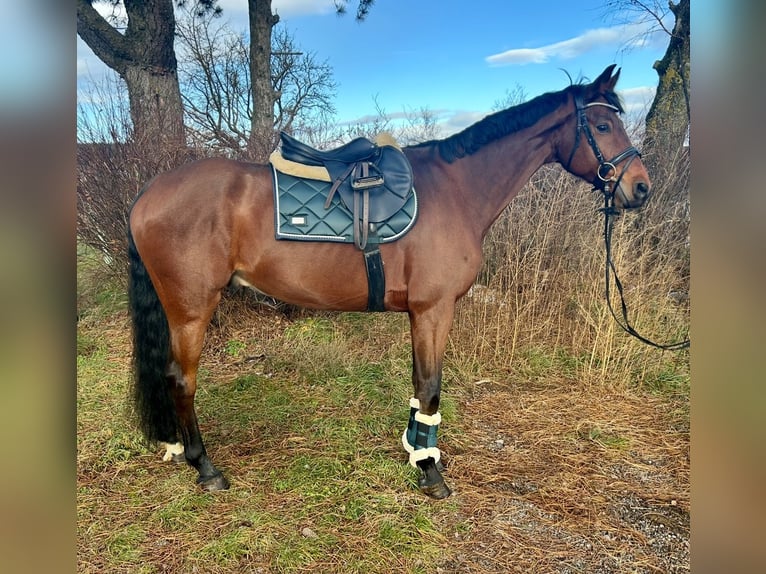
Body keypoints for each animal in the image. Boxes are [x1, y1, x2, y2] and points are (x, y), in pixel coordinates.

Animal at [129, 66, 652, 500]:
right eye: (602, 126)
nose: (641, 187)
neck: (456, 189)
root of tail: (148, 192)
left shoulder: (420, 313)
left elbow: (419, 384)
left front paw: (416, 452)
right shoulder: (435, 309)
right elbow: (431, 386)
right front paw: (431, 472)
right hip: (192, 308)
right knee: (181, 379)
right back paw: (205, 467)